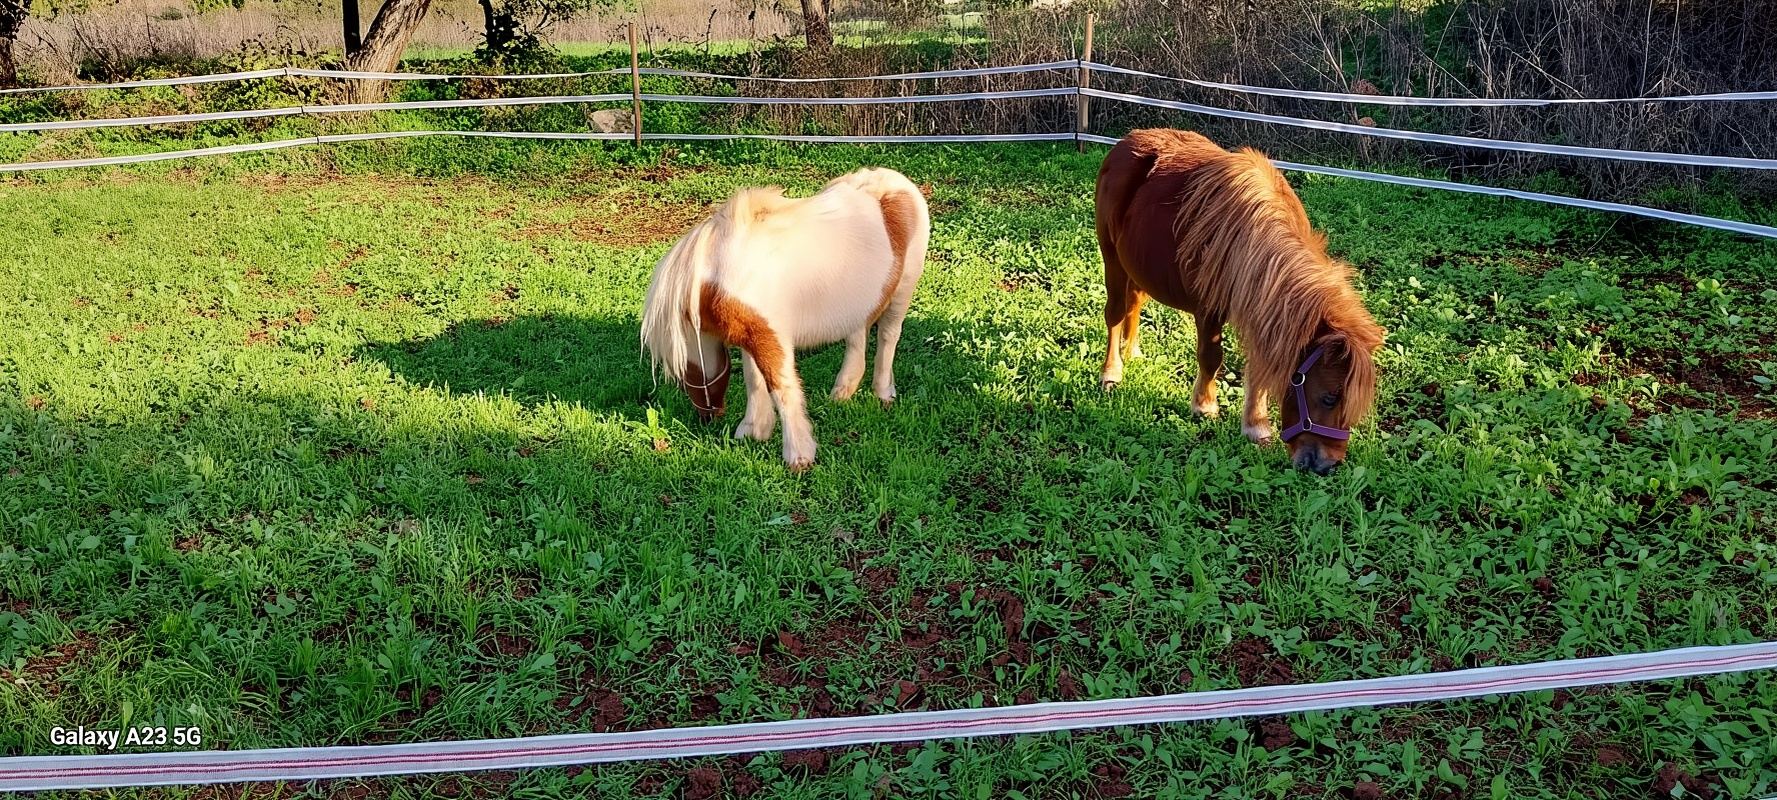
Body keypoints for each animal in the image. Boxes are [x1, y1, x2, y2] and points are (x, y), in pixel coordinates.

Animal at [640, 167, 930, 471]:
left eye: (685, 373)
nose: (707, 417)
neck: (722, 272)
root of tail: (895, 181)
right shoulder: (751, 333)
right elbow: (754, 379)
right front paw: (753, 431)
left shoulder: (771, 338)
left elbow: (781, 386)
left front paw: (798, 456)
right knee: (857, 337)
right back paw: (842, 392)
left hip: (903, 290)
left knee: (888, 336)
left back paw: (883, 393)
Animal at [1094, 129, 1385, 475]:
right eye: (1330, 397)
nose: (1327, 466)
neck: (1252, 240)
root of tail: (1126, 142)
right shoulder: (1209, 309)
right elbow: (1210, 358)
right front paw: (1205, 407)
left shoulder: (1263, 310)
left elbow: (1258, 367)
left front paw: (1256, 426)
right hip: (1112, 258)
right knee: (1115, 313)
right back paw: (1112, 372)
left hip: (1137, 266)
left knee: (1134, 303)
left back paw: (1133, 352)